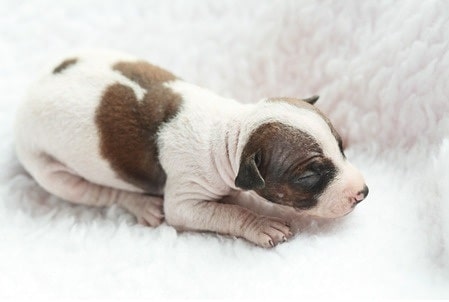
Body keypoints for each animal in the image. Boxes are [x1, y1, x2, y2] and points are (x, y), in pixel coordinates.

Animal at [15, 49, 370, 248]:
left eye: (341, 147)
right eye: (309, 176)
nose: (362, 193)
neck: (234, 133)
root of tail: (31, 89)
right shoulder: (186, 196)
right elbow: (222, 211)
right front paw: (260, 223)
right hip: (49, 171)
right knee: (98, 193)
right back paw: (142, 204)